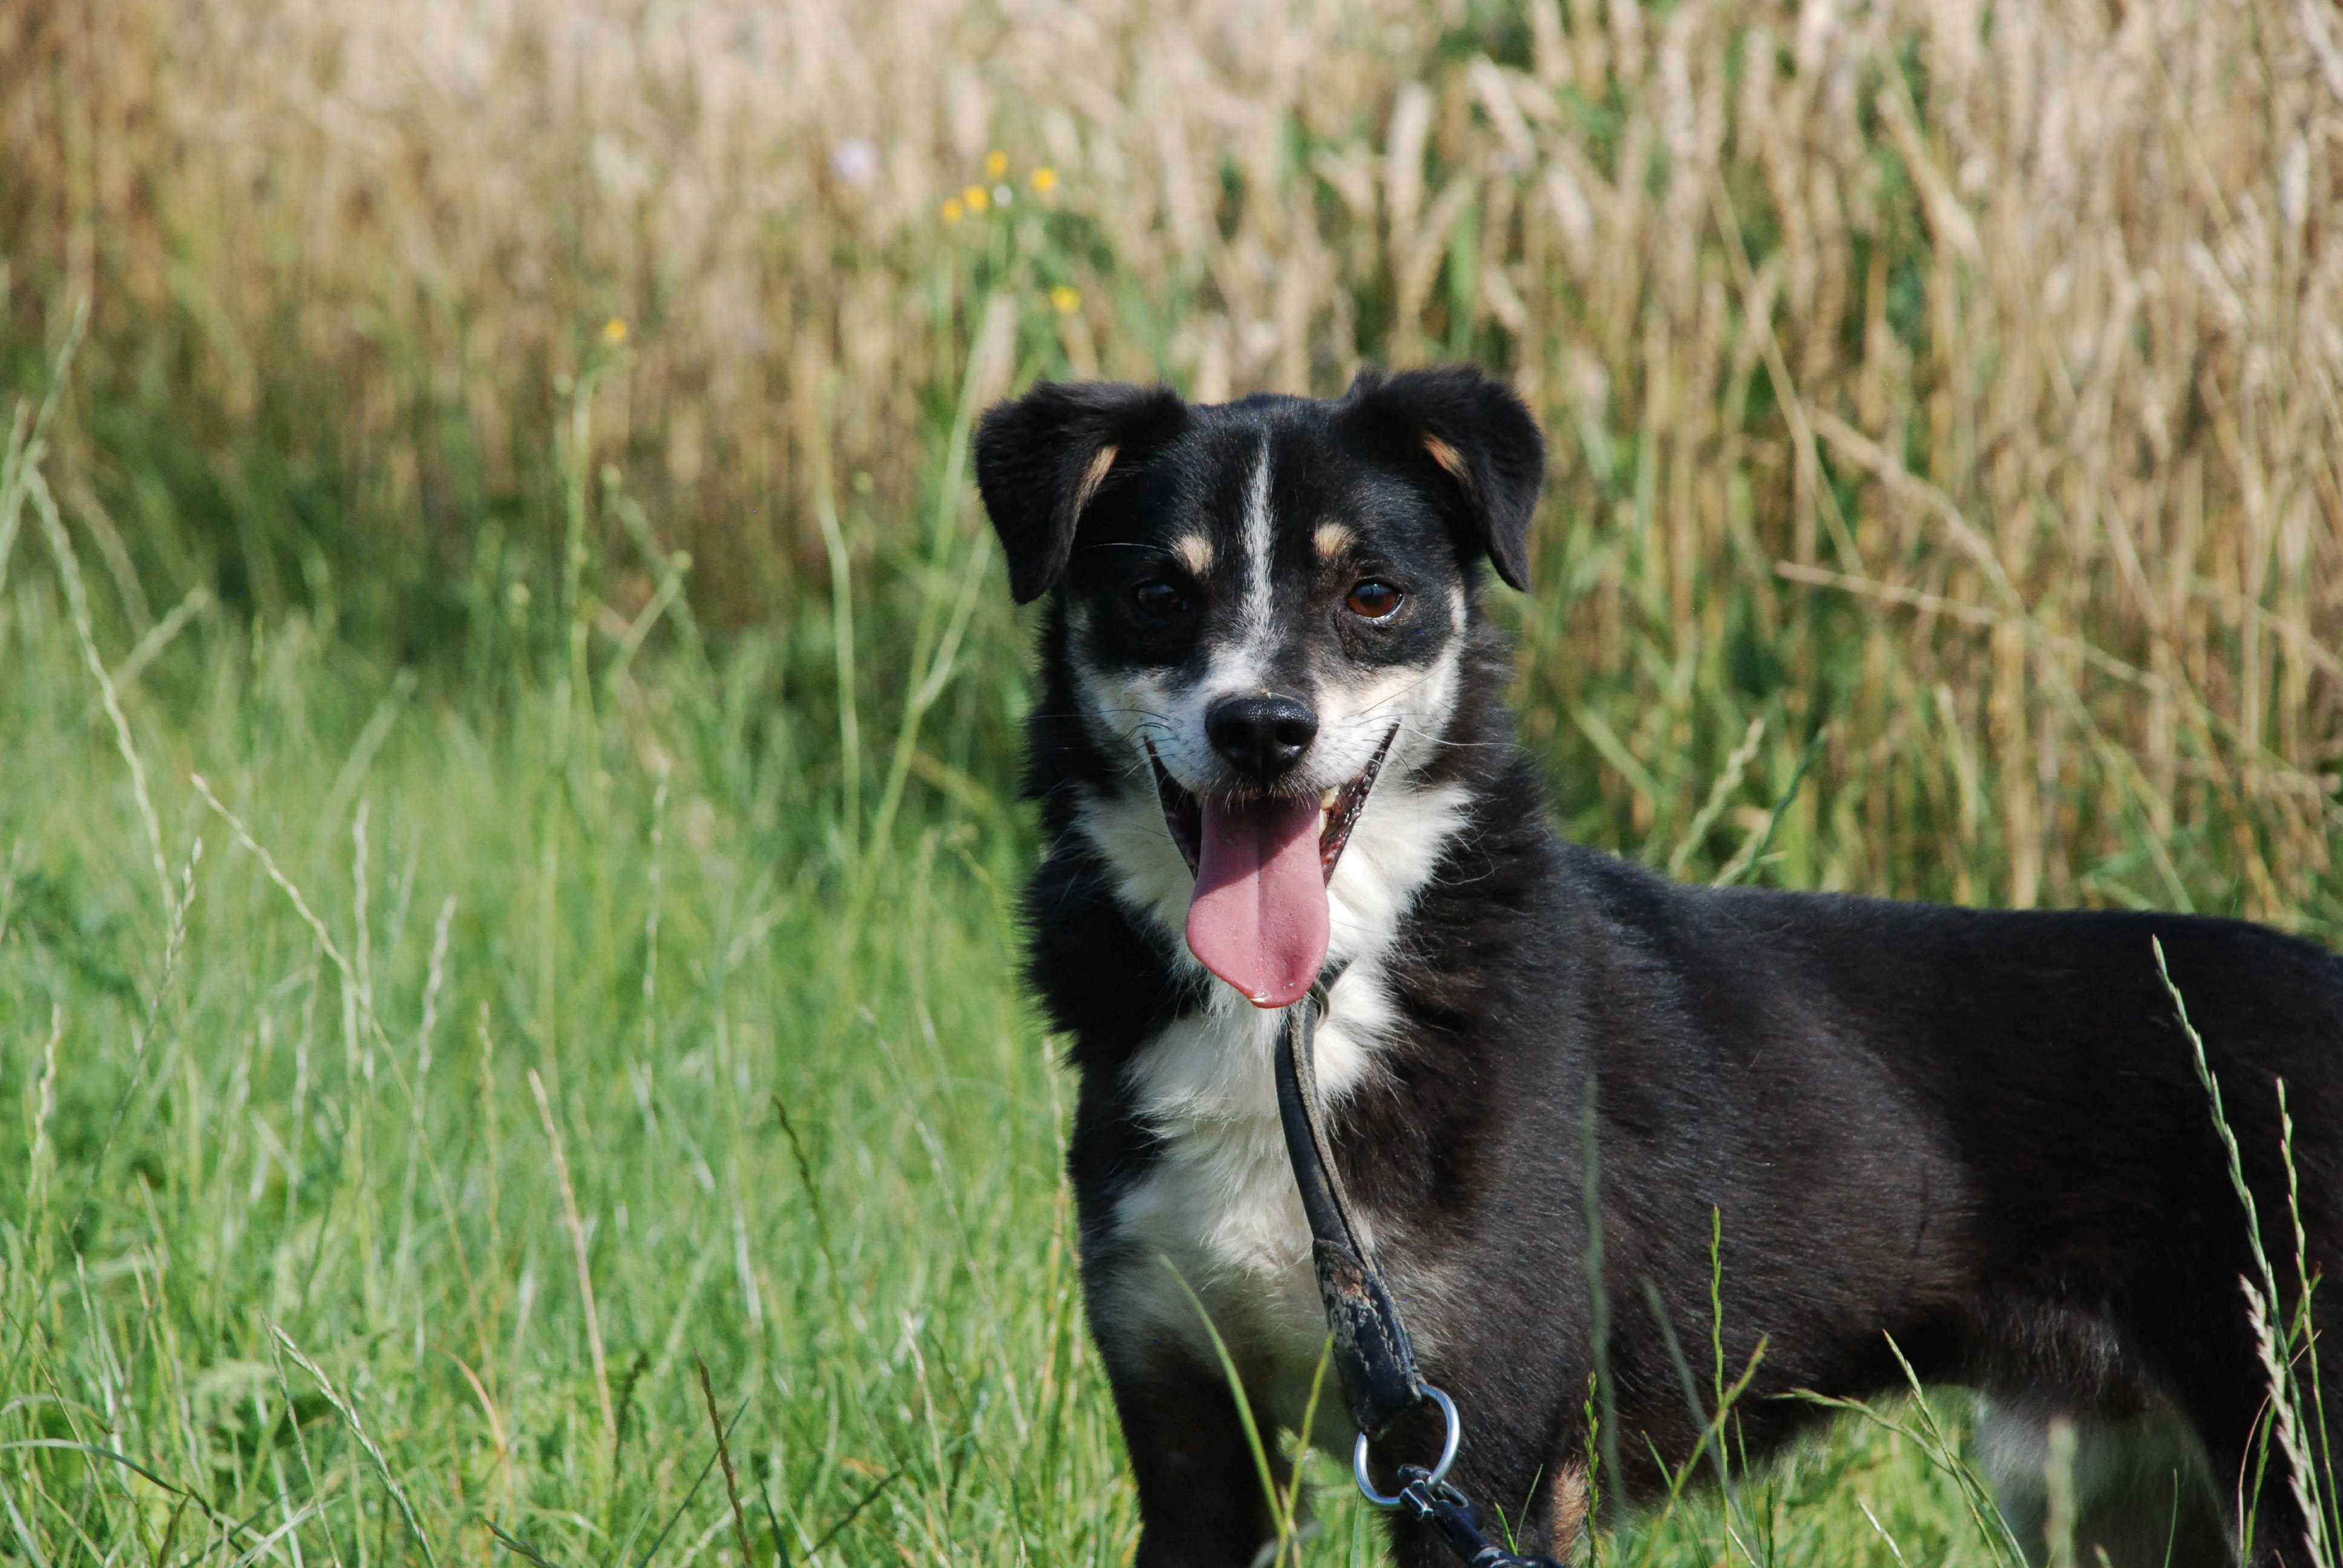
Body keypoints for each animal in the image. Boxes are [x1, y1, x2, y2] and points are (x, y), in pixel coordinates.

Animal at [970, 368, 2343, 1566]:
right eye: (1158, 592)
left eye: (1371, 593)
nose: (1262, 728)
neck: (1299, 1027)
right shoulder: (1199, 1448)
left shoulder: (1483, 1459)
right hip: (2121, 1498)